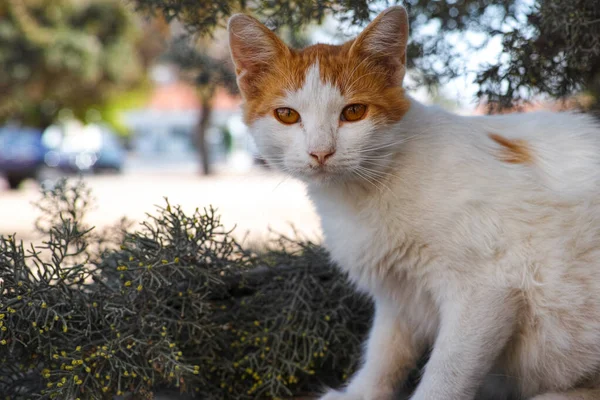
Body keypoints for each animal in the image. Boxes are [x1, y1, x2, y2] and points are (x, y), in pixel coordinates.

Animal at [227, 6, 600, 400]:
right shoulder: (398, 293)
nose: (320, 152)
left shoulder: (486, 290)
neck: (363, 194)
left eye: (353, 112)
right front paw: (361, 392)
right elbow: (385, 352)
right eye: (287, 115)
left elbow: (445, 374)